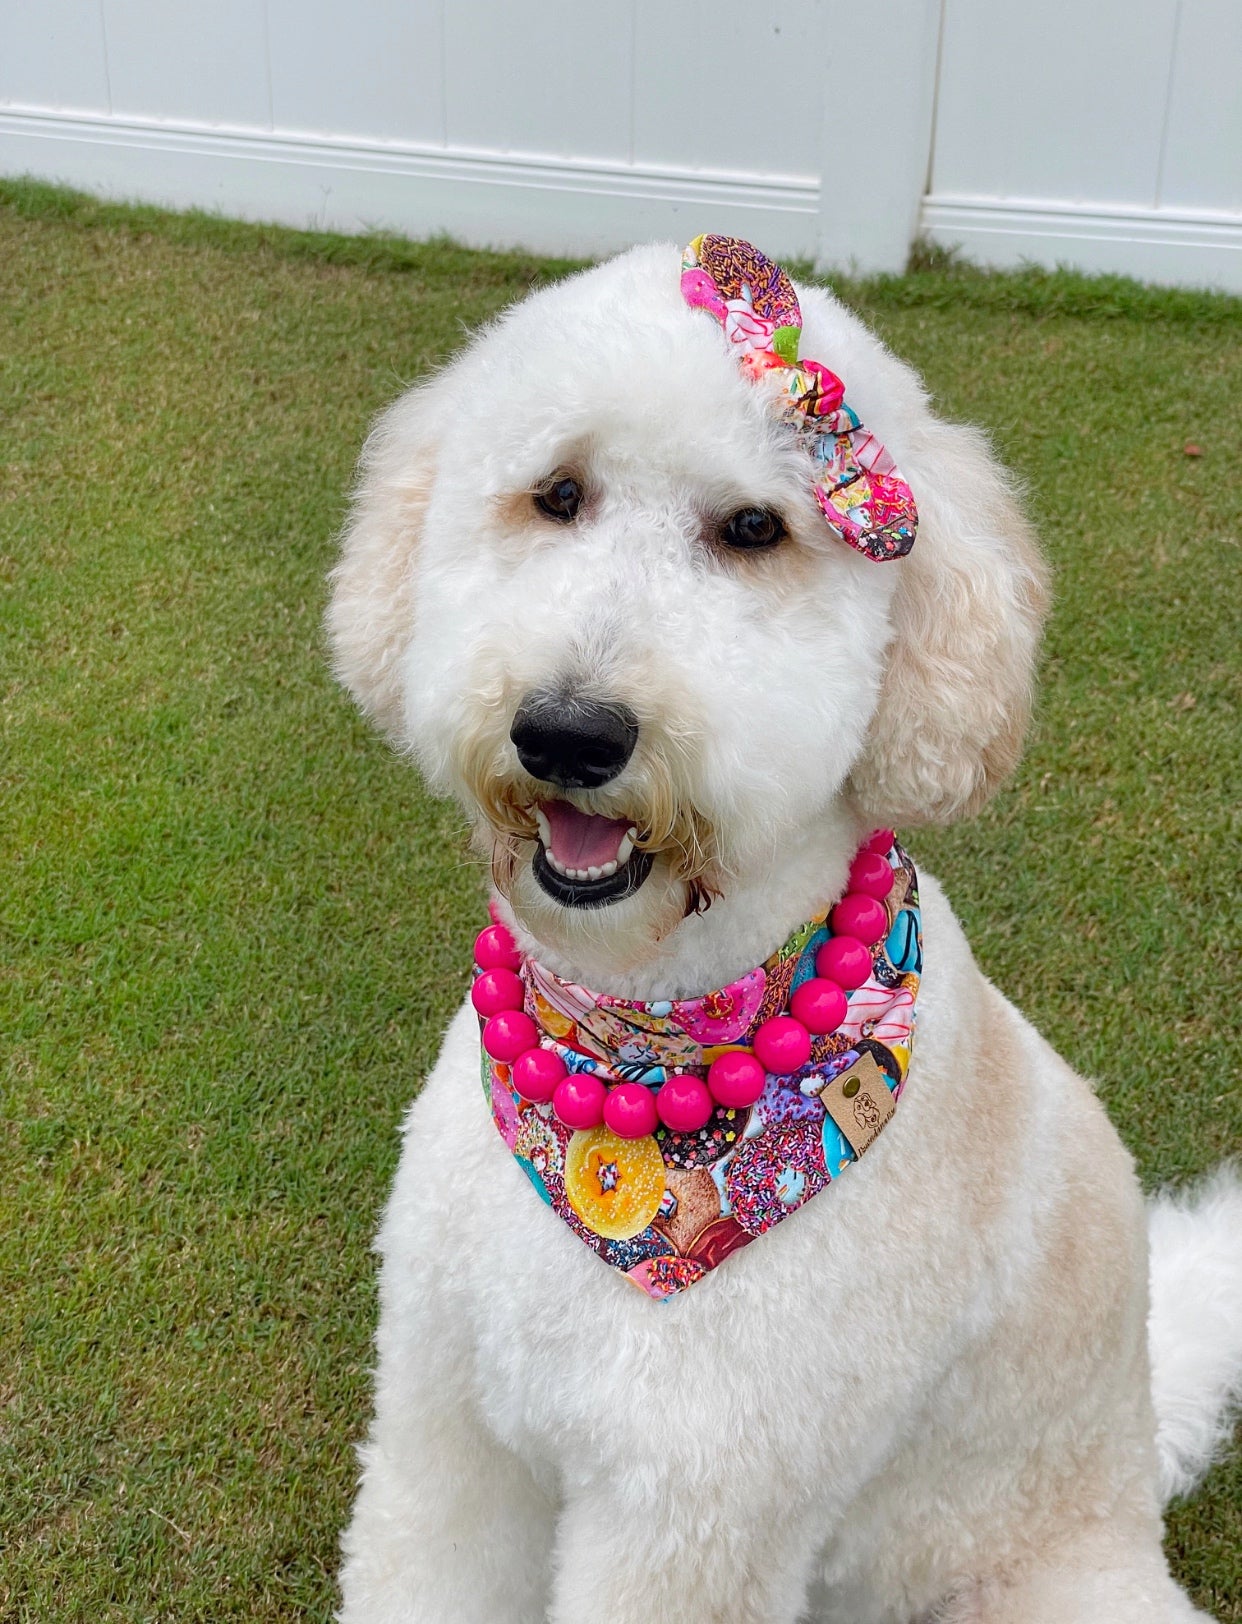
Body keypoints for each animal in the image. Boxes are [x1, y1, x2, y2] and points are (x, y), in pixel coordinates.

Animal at [326, 232, 1240, 1624]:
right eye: (557, 494)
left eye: (754, 529)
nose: (570, 730)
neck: (642, 1041)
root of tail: (1139, 1450)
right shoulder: (448, 1422)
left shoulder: (696, 1509)